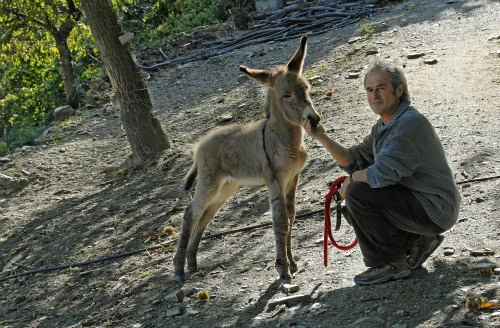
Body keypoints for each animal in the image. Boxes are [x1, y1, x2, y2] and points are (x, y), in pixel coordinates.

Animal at [173, 36, 320, 284]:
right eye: (286, 96)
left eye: (306, 89)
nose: (314, 119)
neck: (283, 138)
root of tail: (199, 146)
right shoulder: (275, 181)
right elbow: (280, 220)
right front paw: (283, 269)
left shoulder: (293, 178)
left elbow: (291, 217)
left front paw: (293, 263)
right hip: (209, 182)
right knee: (191, 213)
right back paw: (178, 270)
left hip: (226, 187)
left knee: (205, 215)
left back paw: (192, 263)